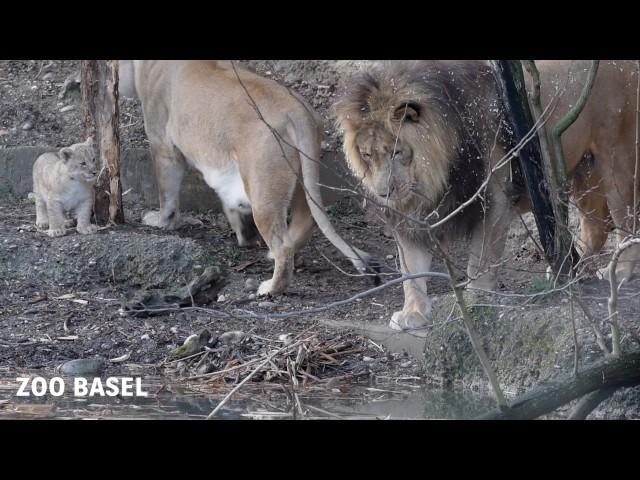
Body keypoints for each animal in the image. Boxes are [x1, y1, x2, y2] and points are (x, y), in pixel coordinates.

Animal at [124, 60, 376, 296]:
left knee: (282, 244)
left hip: (262, 183)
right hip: (301, 177)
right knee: (305, 220)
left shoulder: (162, 142)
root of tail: (296, 110)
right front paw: (243, 232)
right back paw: (268, 253)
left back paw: (270, 287)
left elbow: (167, 193)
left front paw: (161, 222)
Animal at [336, 59, 640, 330]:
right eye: (367, 155)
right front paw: (413, 313)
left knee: (628, 225)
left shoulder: (493, 201)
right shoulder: (409, 218)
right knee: (595, 229)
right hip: (581, 170)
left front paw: (474, 301)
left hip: (616, 162)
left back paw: (618, 273)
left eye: (397, 151)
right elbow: (411, 270)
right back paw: (569, 271)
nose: (383, 192)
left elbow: (479, 261)